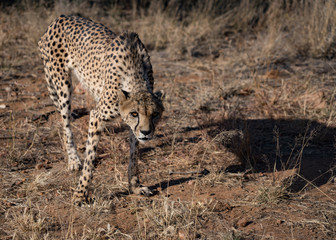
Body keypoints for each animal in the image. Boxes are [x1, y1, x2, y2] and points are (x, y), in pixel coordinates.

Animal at [38, 15, 164, 202]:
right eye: (134, 113)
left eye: (155, 114)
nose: (146, 132)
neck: (135, 78)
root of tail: (59, 18)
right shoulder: (97, 116)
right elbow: (90, 157)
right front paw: (80, 193)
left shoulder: (133, 128)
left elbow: (134, 155)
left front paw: (135, 186)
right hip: (62, 85)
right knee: (66, 124)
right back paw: (73, 160)